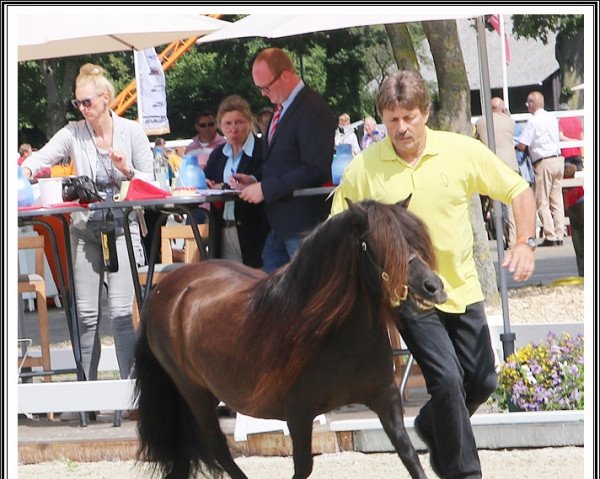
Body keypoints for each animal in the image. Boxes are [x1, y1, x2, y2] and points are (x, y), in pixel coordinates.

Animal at [135, 199, 446, 479]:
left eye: (416, 241)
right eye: (383, 246)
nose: (434, 288)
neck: (337, 336)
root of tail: (166, 289)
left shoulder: (385, 397)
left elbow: (408, 454)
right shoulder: (299, 414)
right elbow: (303, 467)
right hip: (193, 392)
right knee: (218, 447)